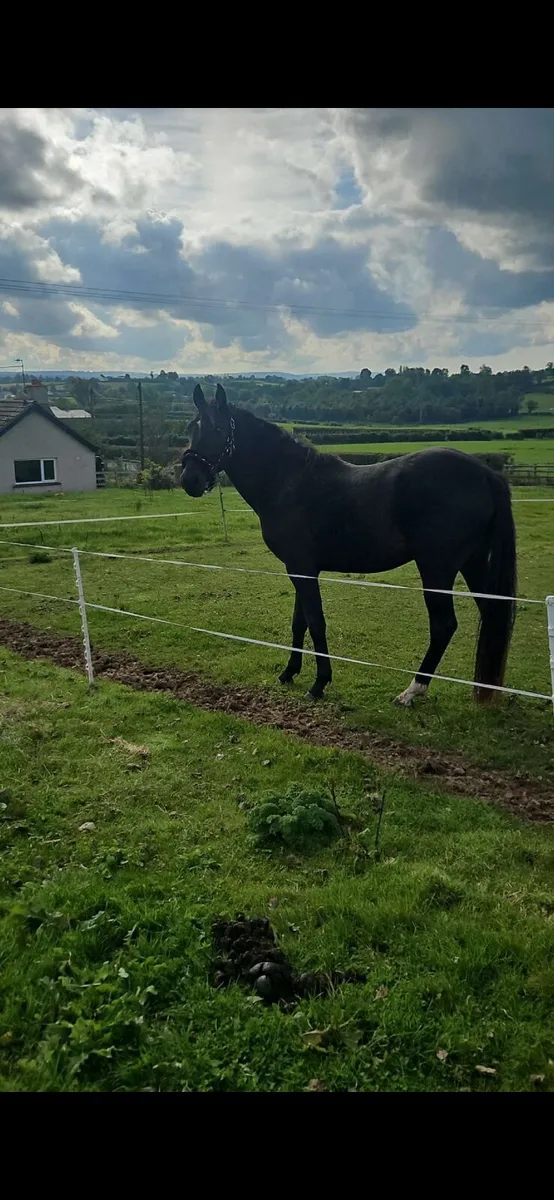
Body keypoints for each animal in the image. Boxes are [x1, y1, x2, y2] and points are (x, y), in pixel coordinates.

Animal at [181, 383, 517, 706]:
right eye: (191, 427)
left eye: (218, 429)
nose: (189, 480)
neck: (289, 481)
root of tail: (486, 474)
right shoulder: (300, 569)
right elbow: (299, 623)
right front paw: (289, 673)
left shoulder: (302, 569)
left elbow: (316, 622)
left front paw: (319, 684)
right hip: (472, 563)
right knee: (491, 615)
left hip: (437, 569)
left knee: (444, 625)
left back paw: (412, 691)